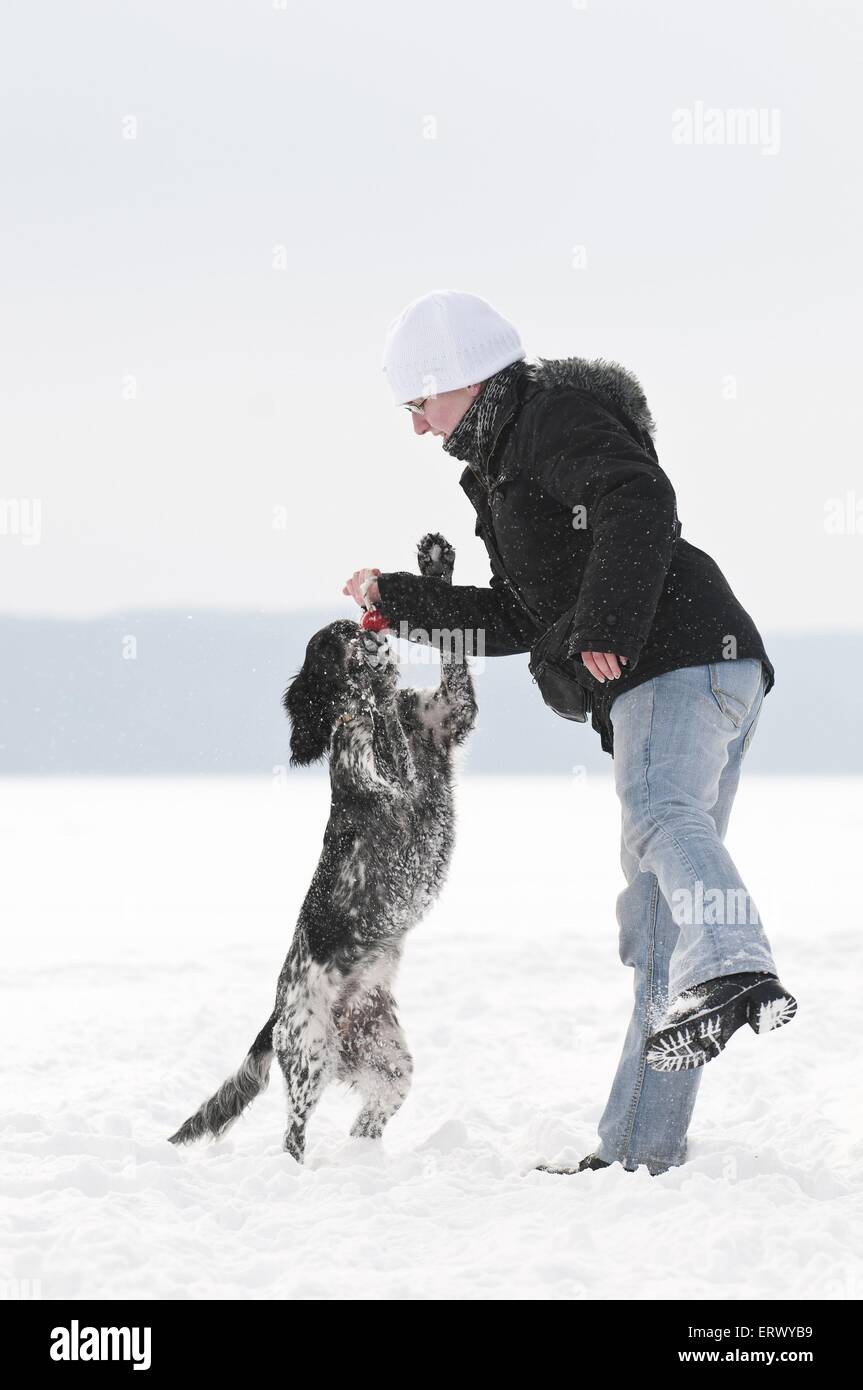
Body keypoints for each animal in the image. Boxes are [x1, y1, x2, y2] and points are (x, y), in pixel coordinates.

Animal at [166, 530, 478, 1162]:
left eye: (346, 625)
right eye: (333, 643)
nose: (361, 626)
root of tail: (274, 1015)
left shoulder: (448, 716)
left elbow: (451, 648)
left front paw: (436, 562)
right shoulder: (388, 771)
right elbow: (376, 717)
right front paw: (372, 677)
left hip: (388, 1061)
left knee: (369, 1119)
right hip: (308, 1053)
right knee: (292, 1135)